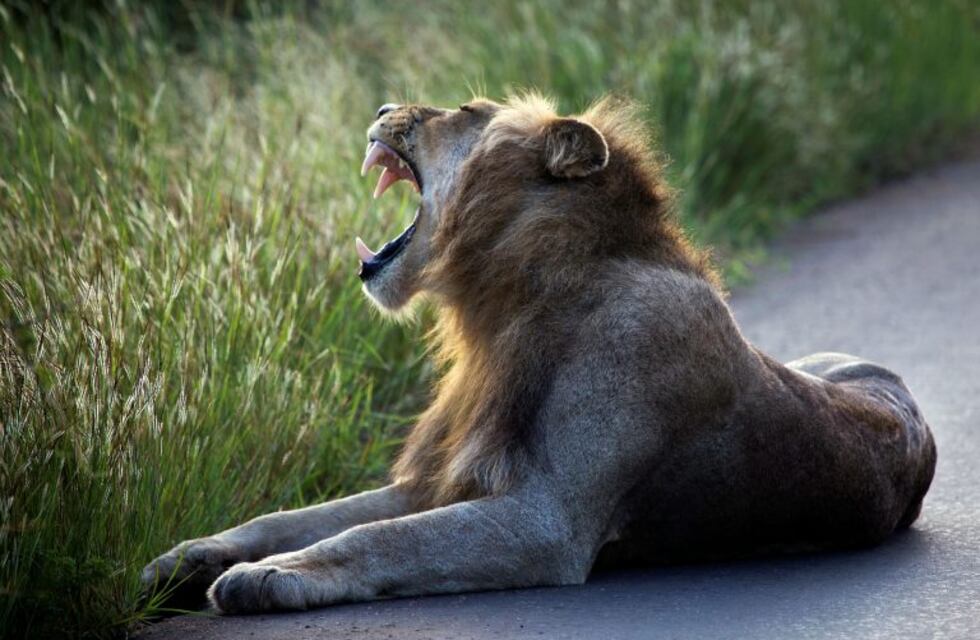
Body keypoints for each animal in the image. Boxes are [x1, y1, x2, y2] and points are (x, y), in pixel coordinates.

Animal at [142, 95, 937, 614]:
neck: (504, 307)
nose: (384, 104)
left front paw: (268, 576)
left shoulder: (545, 521)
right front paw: (187, 557)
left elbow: (376, 539)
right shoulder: (443, 477)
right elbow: (300, 515)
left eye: (464, 111)